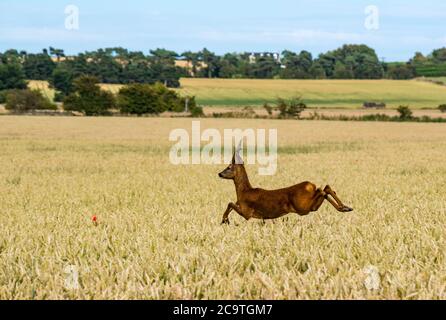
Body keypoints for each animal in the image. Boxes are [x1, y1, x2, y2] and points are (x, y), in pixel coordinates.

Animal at [218, 142, 354, 225]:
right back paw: (345, 207)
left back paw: (344, 207)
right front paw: (225, 220)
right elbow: (231, 204)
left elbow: (230, 203)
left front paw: (224, 220)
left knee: (322, 190)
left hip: (303, 207)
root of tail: (310, 185)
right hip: (309, 207)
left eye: (229, 167)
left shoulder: (247, 213)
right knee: (325, 188)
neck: (244, 192)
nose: (219, 173)